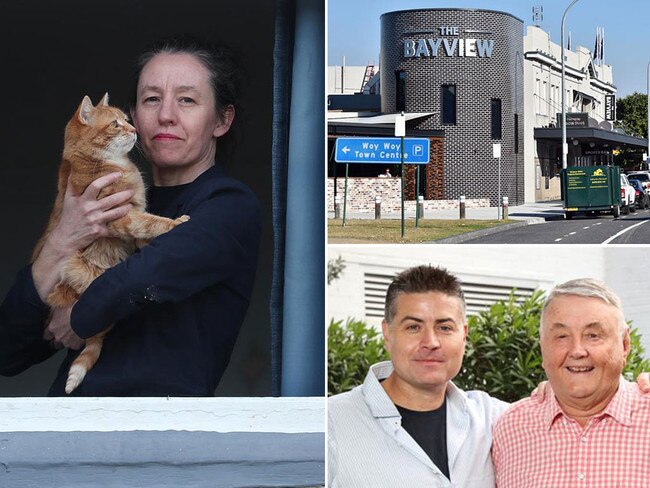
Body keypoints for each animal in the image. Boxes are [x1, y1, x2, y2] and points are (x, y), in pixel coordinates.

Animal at [32, 93, 187, 394]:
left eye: (127, 120)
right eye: (115, 124)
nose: (135, 130)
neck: (114, 164)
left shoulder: (133, 213)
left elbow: (144, 230)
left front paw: (148, 243)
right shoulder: (119, 216)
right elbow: (150, 222)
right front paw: (175, 223)